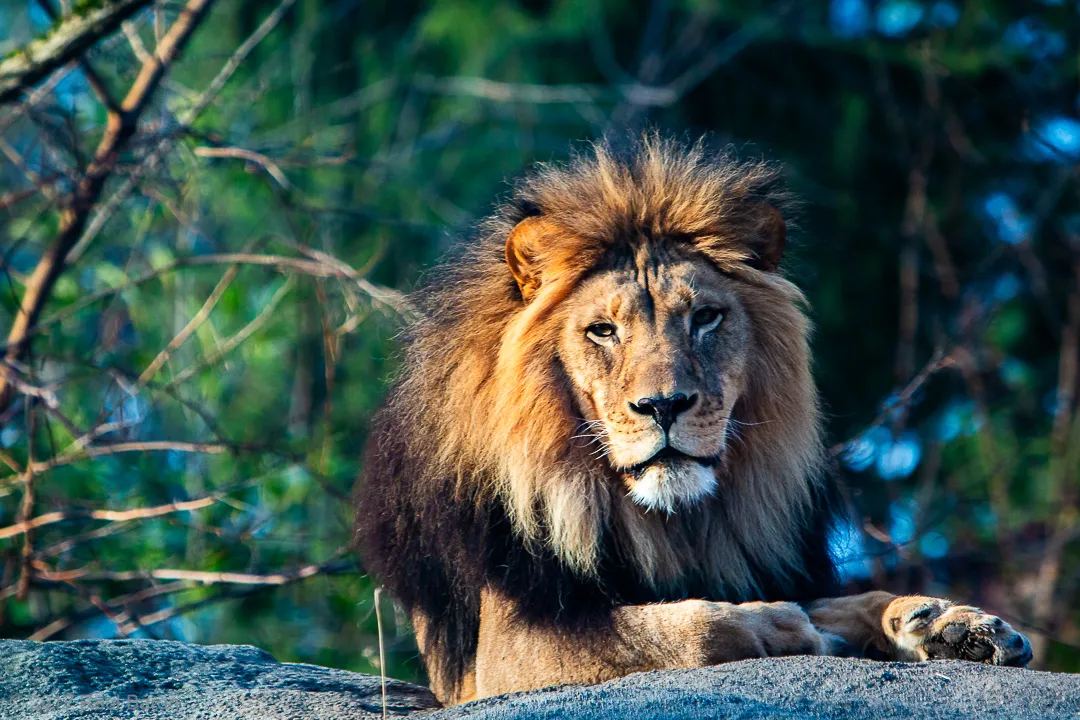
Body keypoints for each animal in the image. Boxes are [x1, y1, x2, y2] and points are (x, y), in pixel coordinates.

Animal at [353, 134, 1032, 706]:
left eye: (705, 318)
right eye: (604, 330)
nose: (664, 406)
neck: (670, 523)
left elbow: (860, 597)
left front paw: (952, 623)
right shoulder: (500, 654)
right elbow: (669, 628)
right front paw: (779, 625)